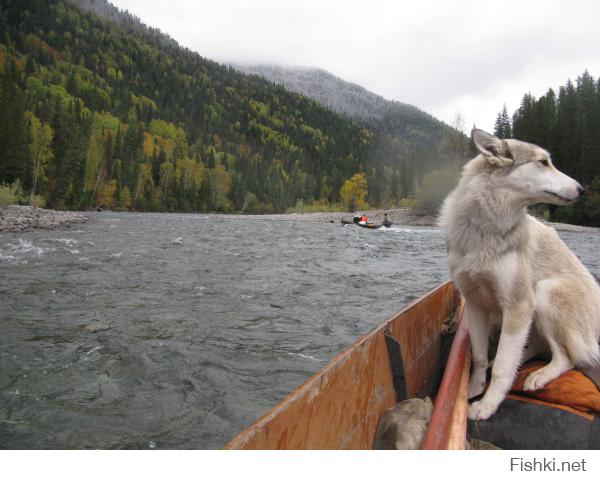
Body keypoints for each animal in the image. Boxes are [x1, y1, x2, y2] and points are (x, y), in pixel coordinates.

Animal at [436, 130, 600, 420]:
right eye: (543, 162)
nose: (582, 189)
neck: (486, 231)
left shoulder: (519, 306)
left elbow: (503, 367)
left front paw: (488, 404)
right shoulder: (475, 304)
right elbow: (479, 356)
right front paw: (472, 389)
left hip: (545, 292)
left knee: (567, 357)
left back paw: (539, 376)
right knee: (531, 349)